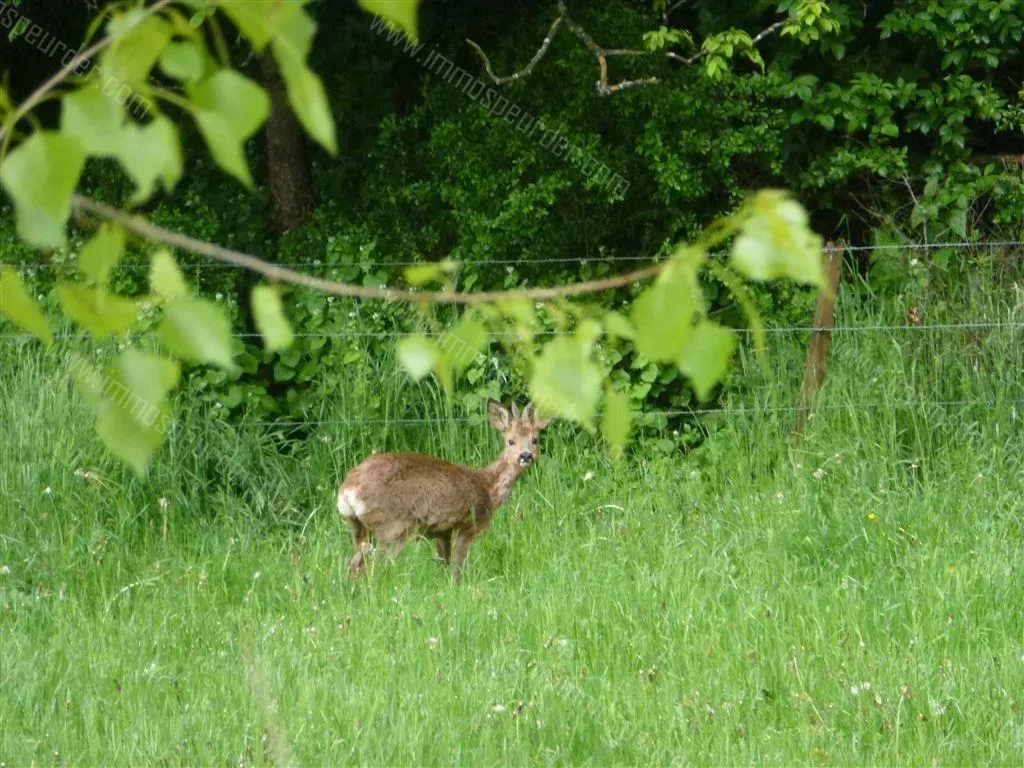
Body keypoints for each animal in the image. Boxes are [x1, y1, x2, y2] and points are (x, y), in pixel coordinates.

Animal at [337, 403, 552, 581]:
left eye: (535, 439)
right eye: (510, 441)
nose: (526, 456)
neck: (488, 486)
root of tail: (347, 491)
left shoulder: (442, 531)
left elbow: (443, 563)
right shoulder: (468, 523)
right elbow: (457, 566)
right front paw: (458, 587)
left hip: (359, 527)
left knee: (355, 562)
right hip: (392, 528)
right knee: (372, 565)